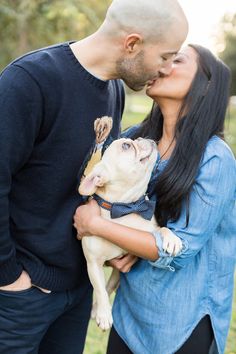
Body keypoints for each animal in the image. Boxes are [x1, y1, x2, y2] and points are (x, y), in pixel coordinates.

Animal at [78, 136, 182, 332]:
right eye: (126, 145)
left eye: (137, 139)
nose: (146, 138)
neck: (125, 207)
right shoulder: (93, 263)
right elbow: (100, 289)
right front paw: (105, 314)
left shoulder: (149, 230)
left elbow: (162, 229)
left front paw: (173, 239)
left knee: (110, 286)